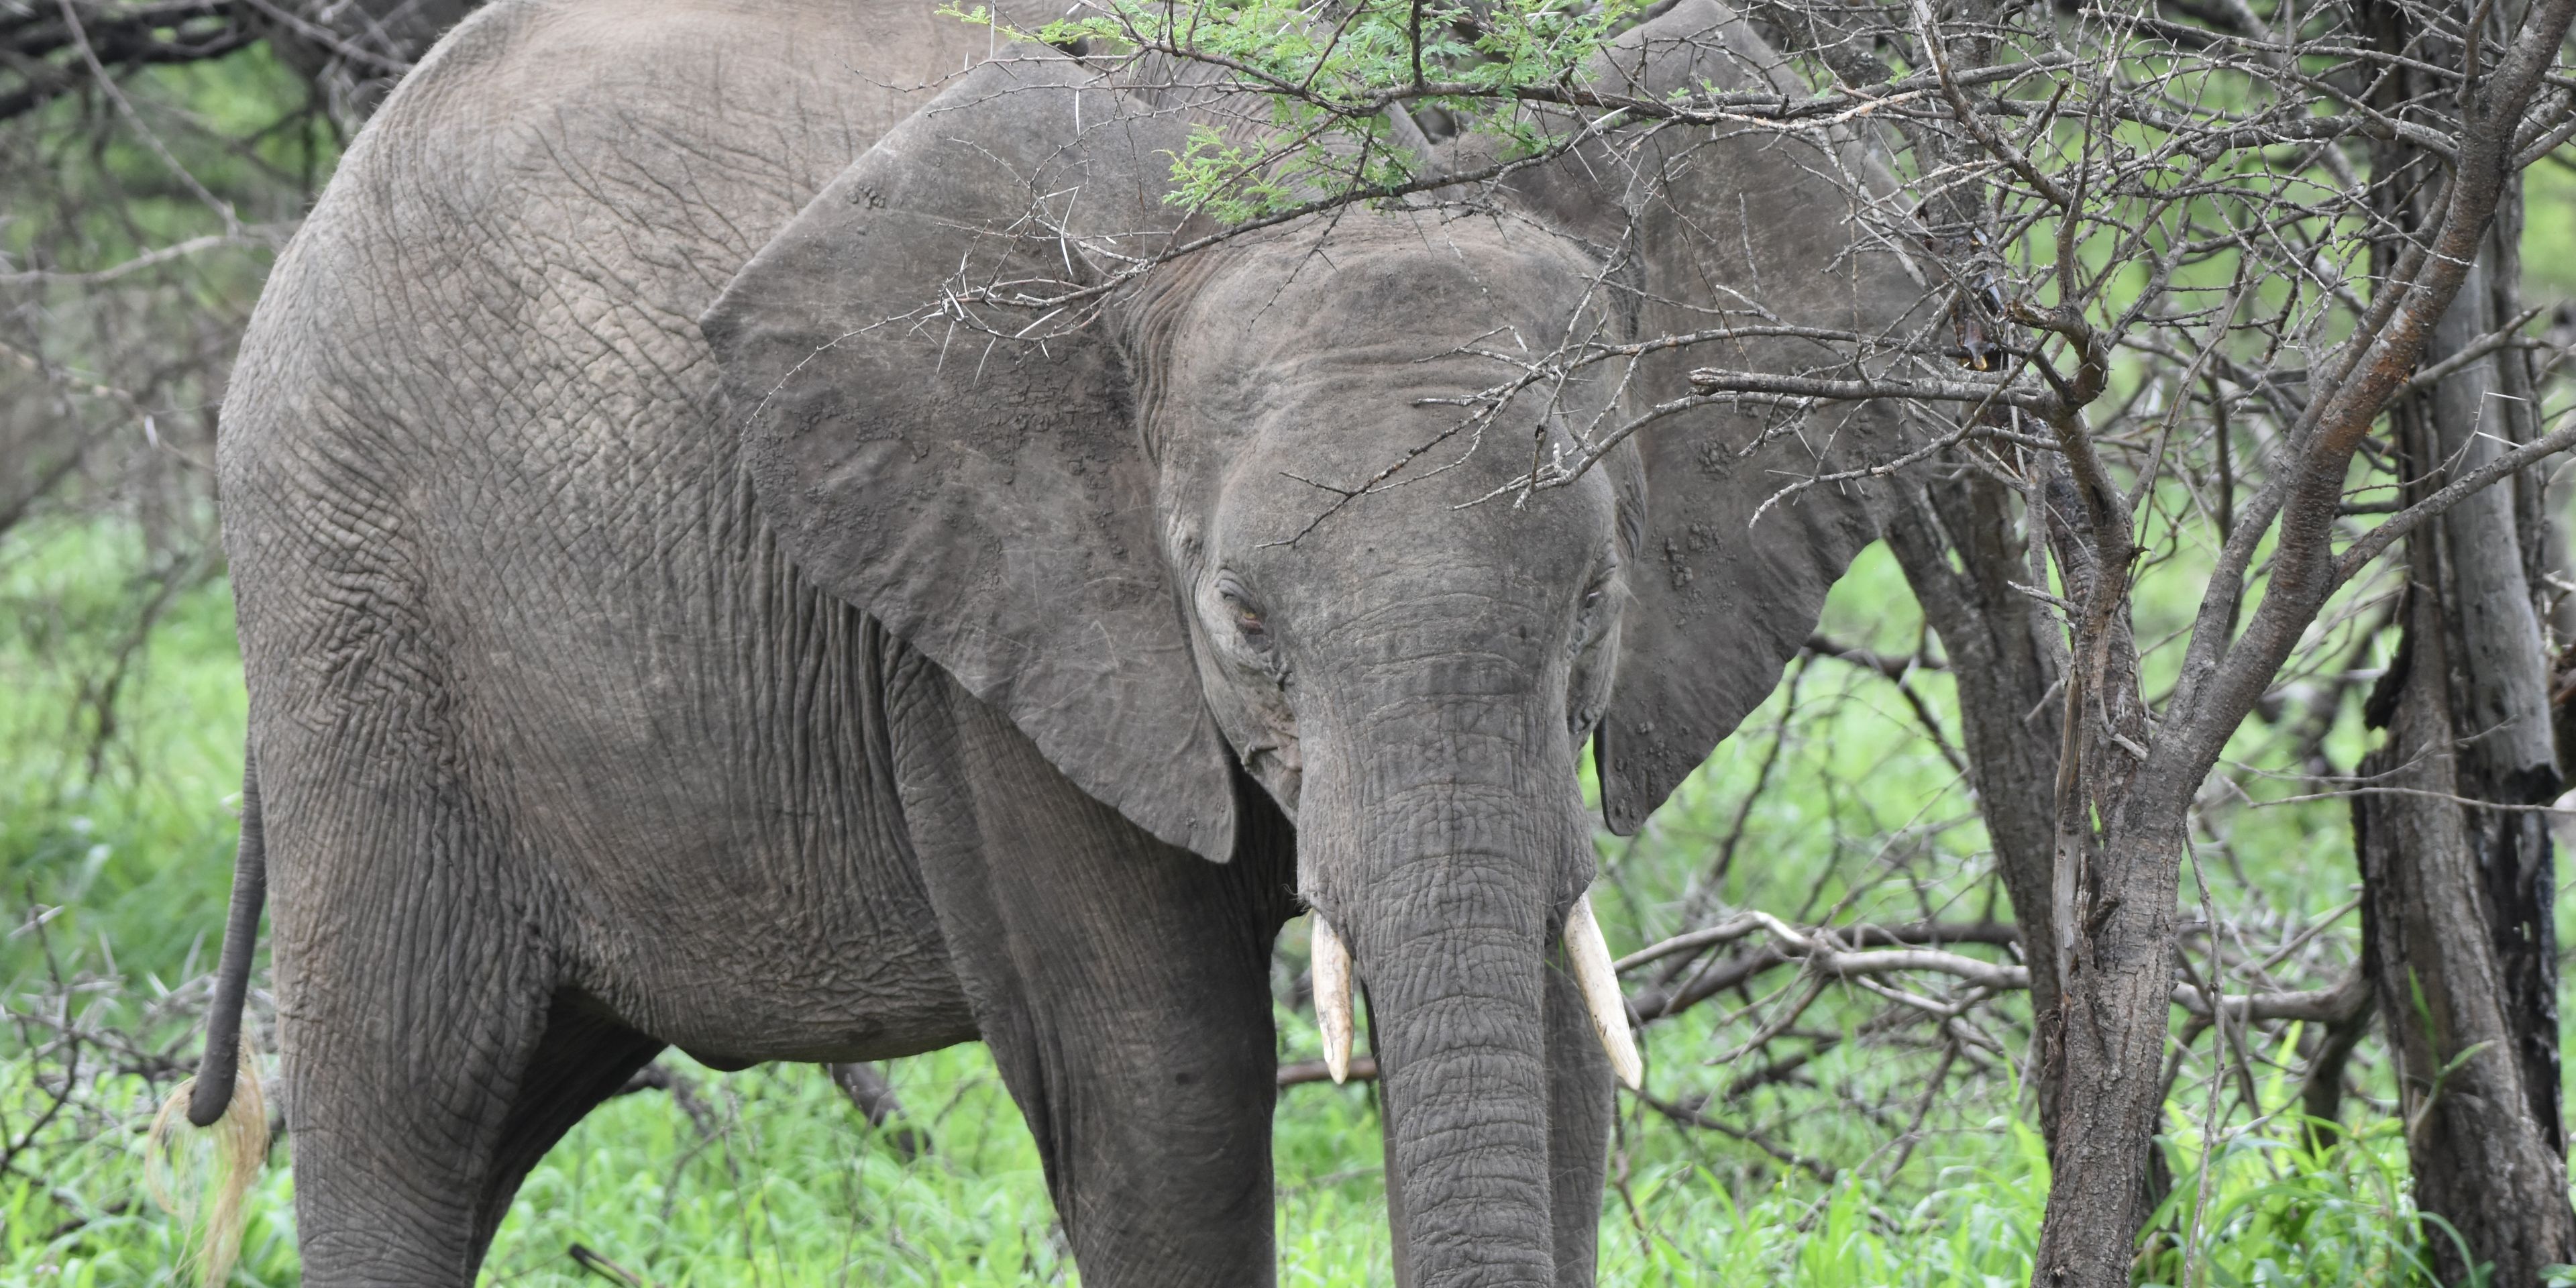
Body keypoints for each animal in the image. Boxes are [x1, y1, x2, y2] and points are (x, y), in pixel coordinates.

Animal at [179, 0, 1926, 1282]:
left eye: (1596, 601)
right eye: (1237, 617)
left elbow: (1561, 1048)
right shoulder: (987, 634)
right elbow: (1165, 1093)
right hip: (354, 603)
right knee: (414, 1098)